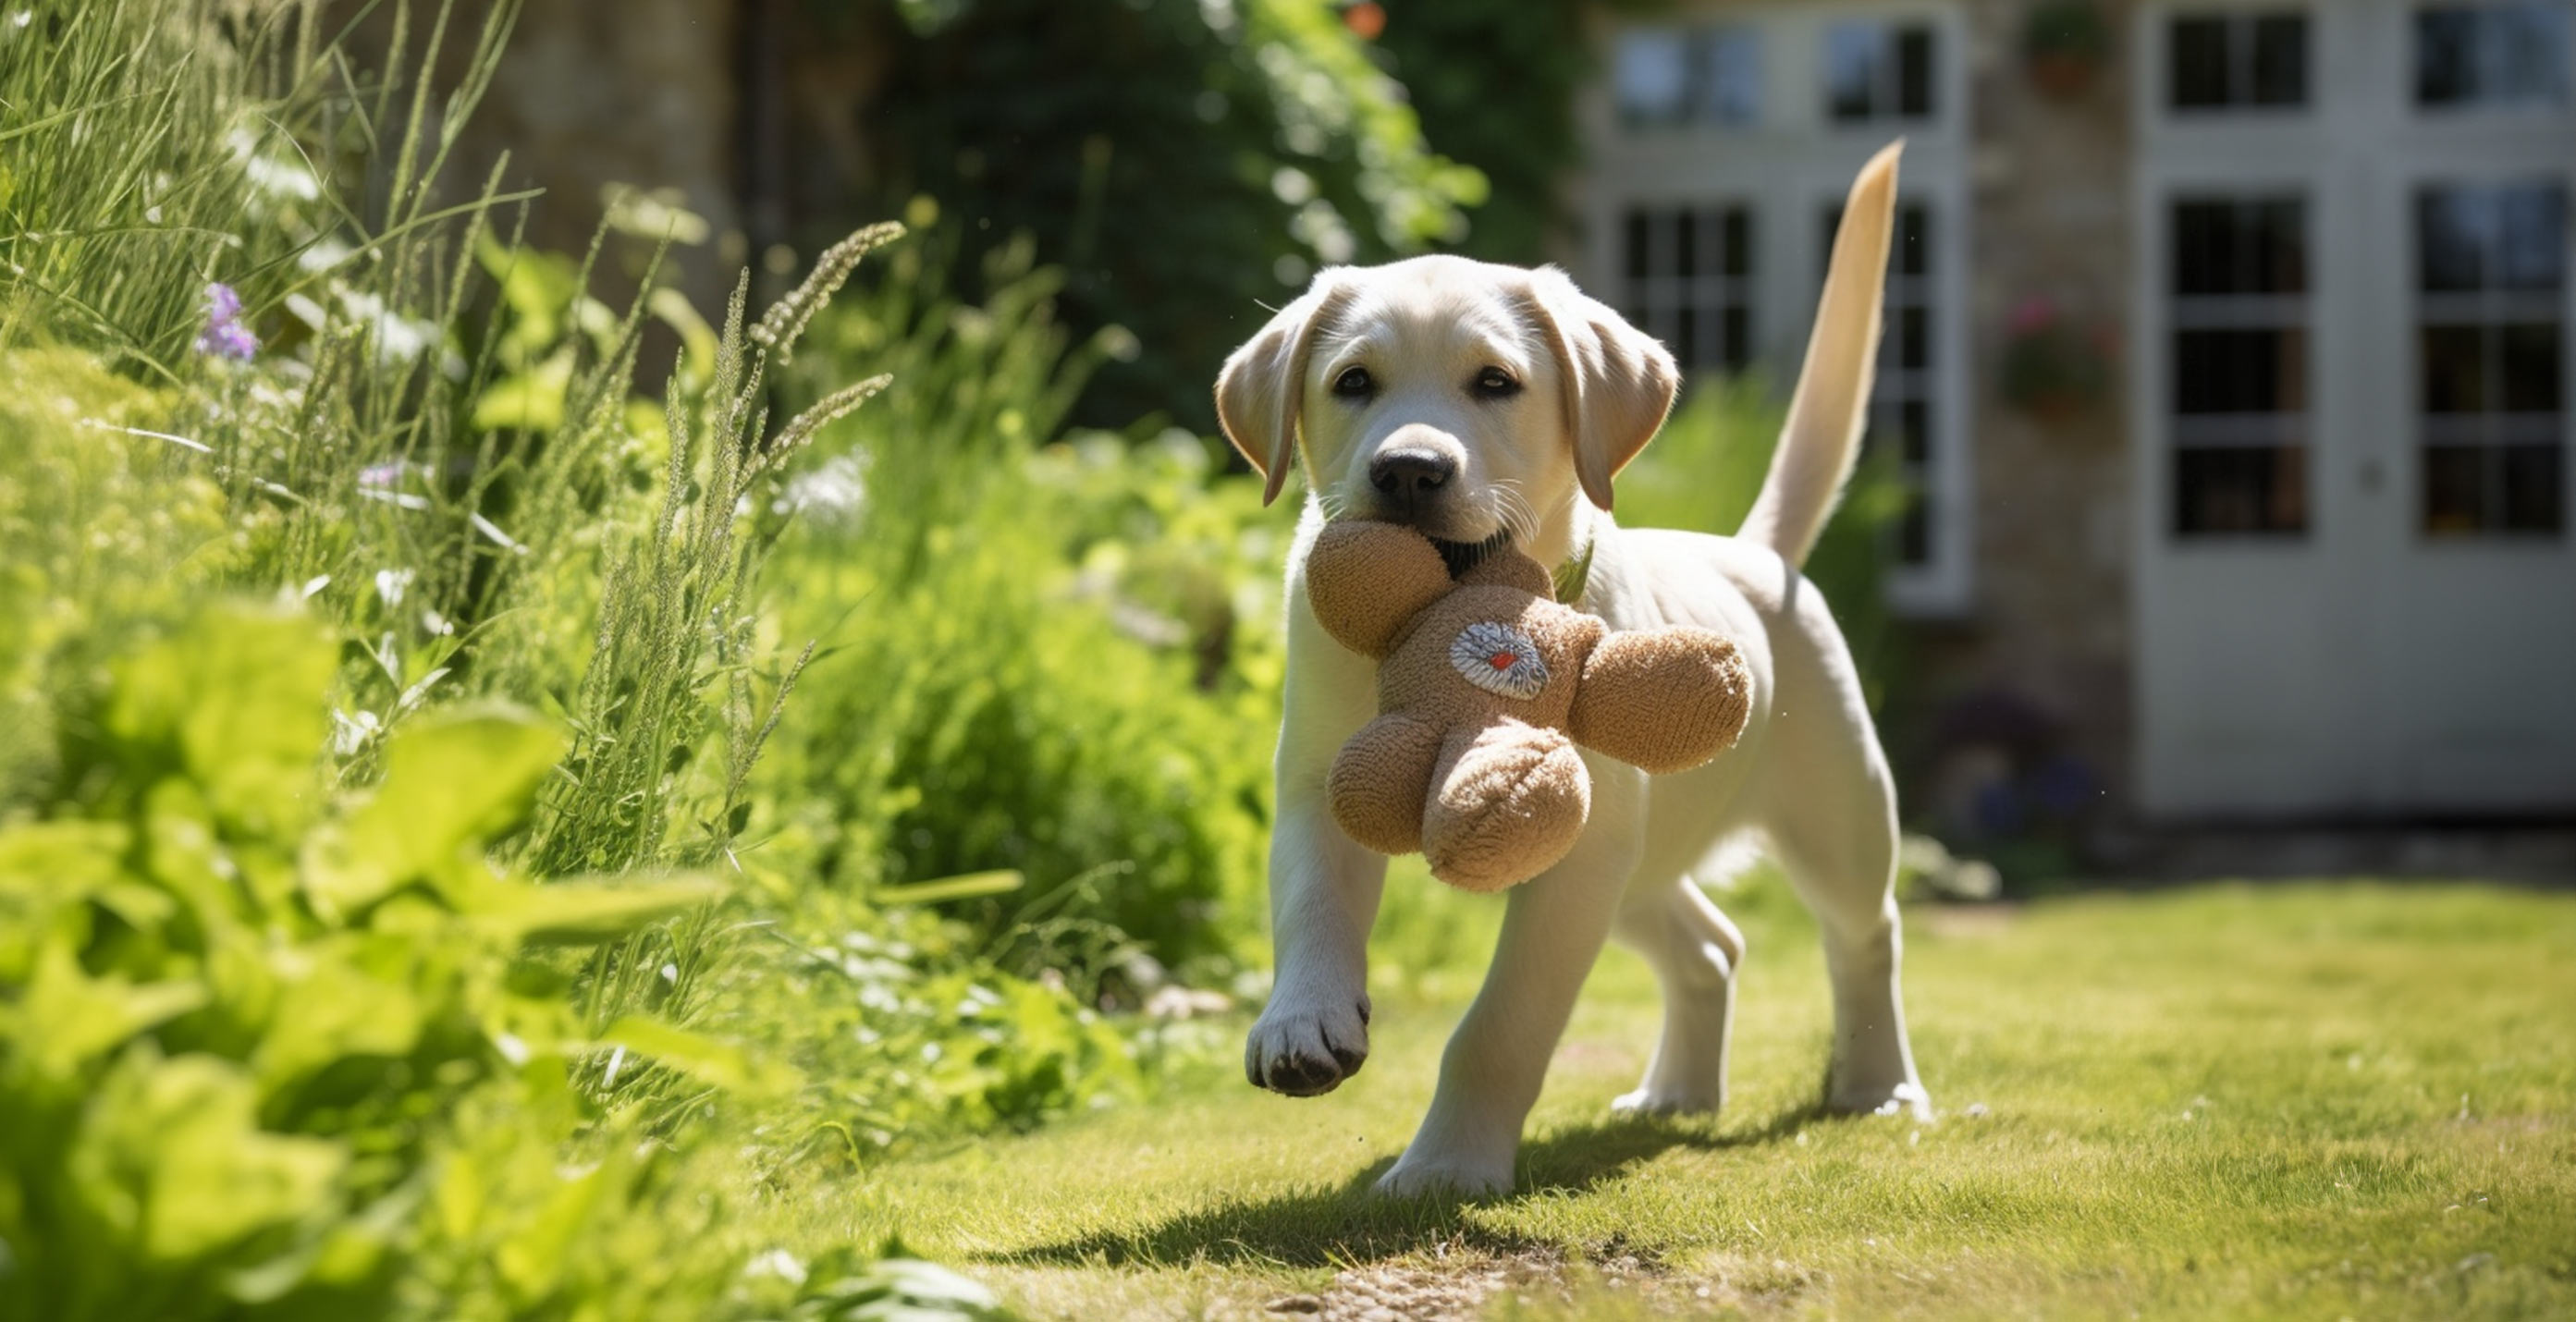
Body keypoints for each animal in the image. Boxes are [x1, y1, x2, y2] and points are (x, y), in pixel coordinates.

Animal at [1215, 144, 1926, 1195]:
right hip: (1638, 863)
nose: (1409, 471)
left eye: (1494, 381)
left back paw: (1881, 1086)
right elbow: (1311, 905)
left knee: (1865, 935)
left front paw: (1448, 1167)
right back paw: (1677, 1094)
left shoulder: (1572, 860)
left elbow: (1500, 1025)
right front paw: (1301, 1019)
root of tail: (1757, 554)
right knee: (1710, 948)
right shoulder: (1316, 780)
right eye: (1351, 381)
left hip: (1832, 810)